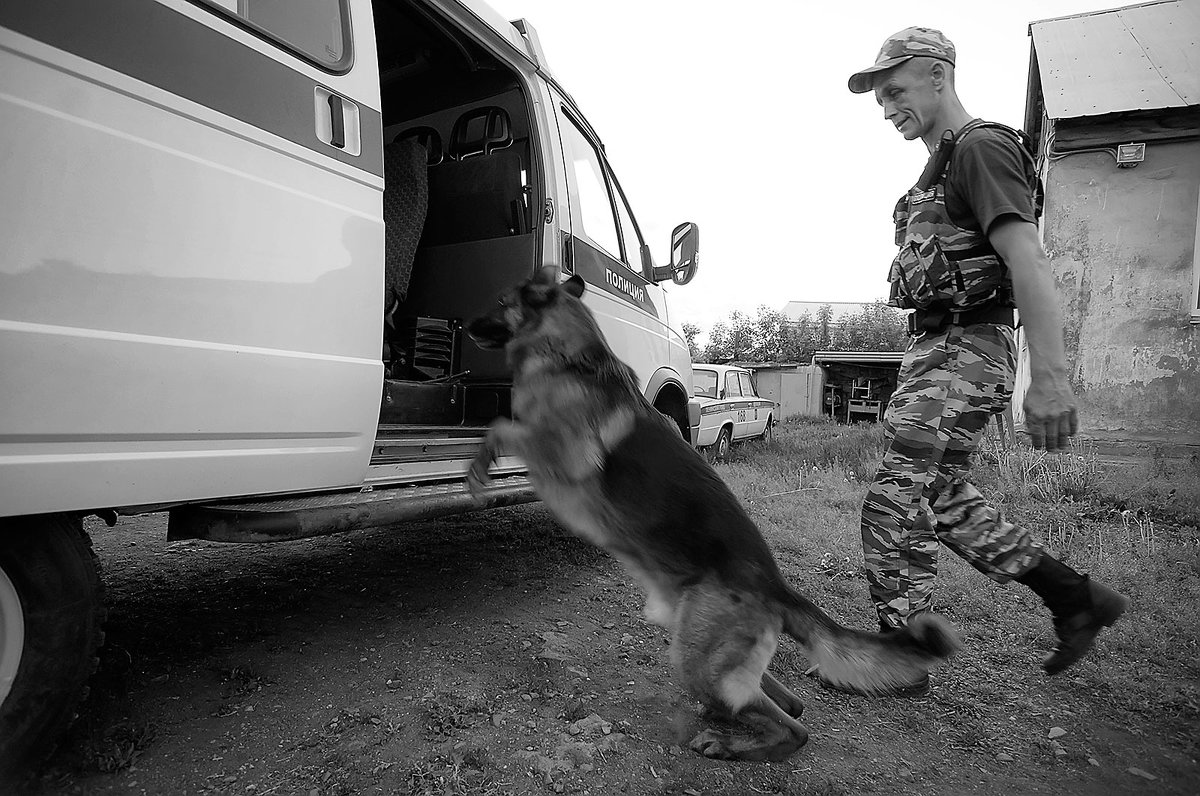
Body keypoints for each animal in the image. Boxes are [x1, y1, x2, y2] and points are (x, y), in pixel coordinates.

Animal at [463, 271, 960, 763]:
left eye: (501, 301)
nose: (465, 326)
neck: (566, 356)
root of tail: (776, 586)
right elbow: (504, 426)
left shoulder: (557, 454)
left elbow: (501, 427)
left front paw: (477, 469)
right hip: (703, 648)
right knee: (788, 703)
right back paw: (728, 721)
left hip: (696, 660)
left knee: (795, 727)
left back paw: (728, 743)